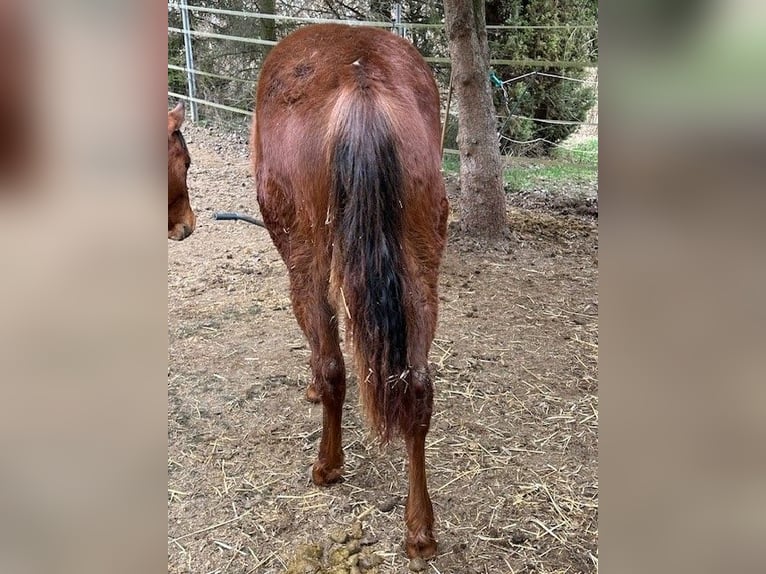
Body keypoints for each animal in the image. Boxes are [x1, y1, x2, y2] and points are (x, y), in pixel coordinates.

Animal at [251, 23, 448, 559]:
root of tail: (361, 81)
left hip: (306, 254)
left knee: (333, 362)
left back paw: (327, 464)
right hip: (422, 263)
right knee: (418, 386)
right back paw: (420, 530)